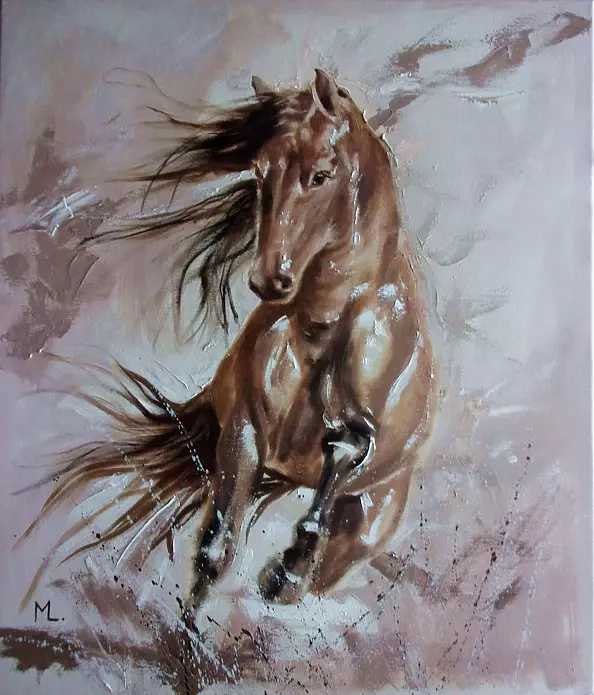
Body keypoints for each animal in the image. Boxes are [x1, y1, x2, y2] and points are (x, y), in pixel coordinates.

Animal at [19, 69, 437, 611]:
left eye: (322, 175)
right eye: (260, 172)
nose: (269, 280)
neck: (322, 326)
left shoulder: (356, 435)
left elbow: (345, 446)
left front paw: (289, 563)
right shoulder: (243, 430)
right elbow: (215, 551)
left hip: (372, 513)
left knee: (324, 564)